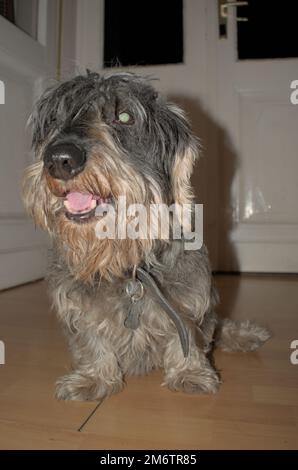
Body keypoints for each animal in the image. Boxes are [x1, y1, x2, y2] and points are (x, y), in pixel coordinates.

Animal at [22, 72, 270, 400]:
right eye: (55, 118)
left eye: (124, 116)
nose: (60, 158)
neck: (125, 263)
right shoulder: (76, 303)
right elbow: (91, 340)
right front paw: (93, 378)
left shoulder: (190, 299)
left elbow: (189, 335)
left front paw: (189, 373)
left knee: (218, 324)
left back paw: (243, 334)